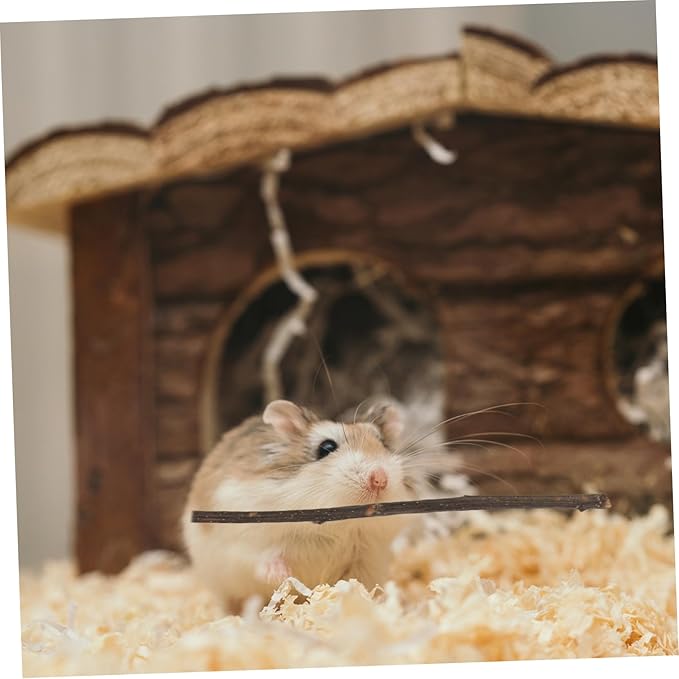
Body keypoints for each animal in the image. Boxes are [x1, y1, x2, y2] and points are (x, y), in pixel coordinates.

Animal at [182, 398, 424, 612]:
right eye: (326, 447)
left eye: (383, 444)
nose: (380, 479)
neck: (337, 527)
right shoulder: (243, 538)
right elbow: (262, 558)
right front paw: (283, 575)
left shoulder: (368, 558)